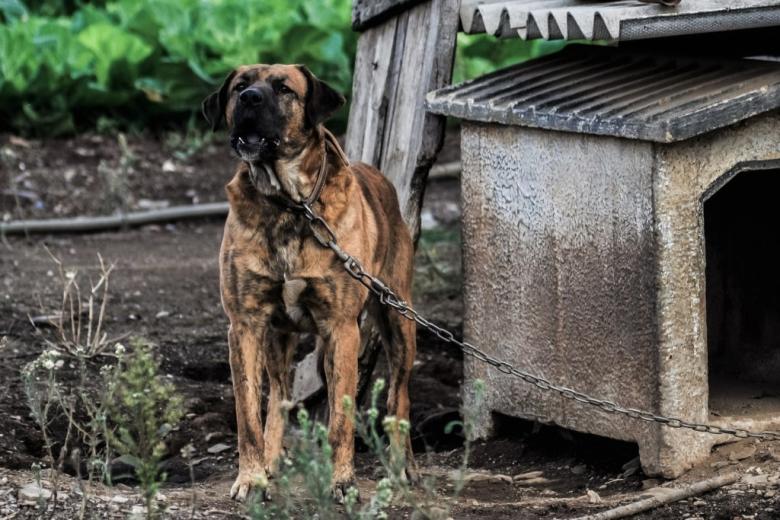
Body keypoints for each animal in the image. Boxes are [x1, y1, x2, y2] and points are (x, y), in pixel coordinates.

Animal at [204, 64, 418, 500]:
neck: (289, 205)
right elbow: (249, 413)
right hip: (278, 338)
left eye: (284, 88)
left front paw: (343, 481)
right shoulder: (245, 325)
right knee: (279, 397)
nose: (249, 98)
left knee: (398, 396)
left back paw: (403, 467)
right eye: (239, 86)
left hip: (399, 320)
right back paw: (272, 462)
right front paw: (251, 477)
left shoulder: (342, 328)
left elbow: (341, 418)